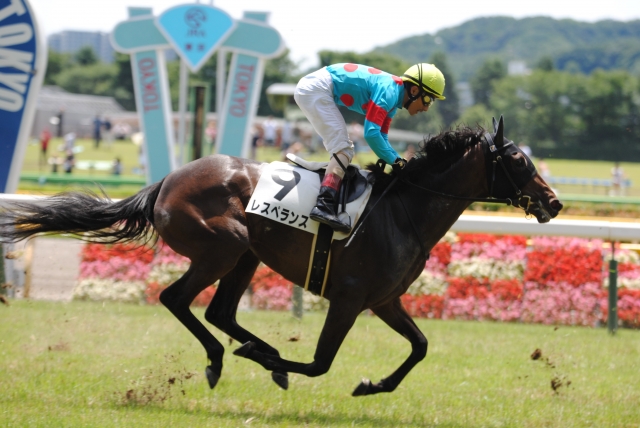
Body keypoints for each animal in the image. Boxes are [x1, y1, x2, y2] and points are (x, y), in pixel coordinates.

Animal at [0, 116, 562, 396]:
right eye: (518, 159)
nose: (554, 202)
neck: (403, 211)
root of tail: (167, 180)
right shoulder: (349, 298)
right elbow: (319, 363)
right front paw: (280, 363)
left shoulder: (384, 300)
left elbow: (420, 346)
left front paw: (372, 385)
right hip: (224, 246)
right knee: (177, 299)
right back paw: (228, 358)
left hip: (246, 255)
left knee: (218, 310)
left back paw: (251, 351)